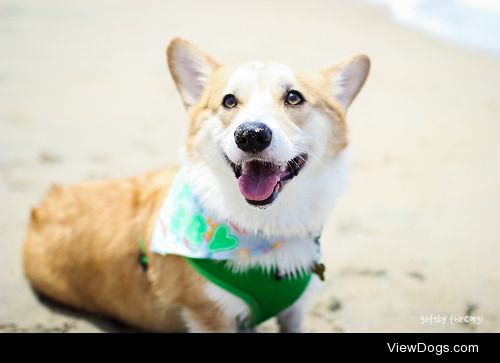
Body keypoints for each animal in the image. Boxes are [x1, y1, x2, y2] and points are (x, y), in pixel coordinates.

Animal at [21, 37, 370, 332]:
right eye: (229, 101)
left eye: (294, 97)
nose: (251, 135)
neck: (263, 228)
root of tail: (44, 202)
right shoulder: (210, 316)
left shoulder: (293, 312)